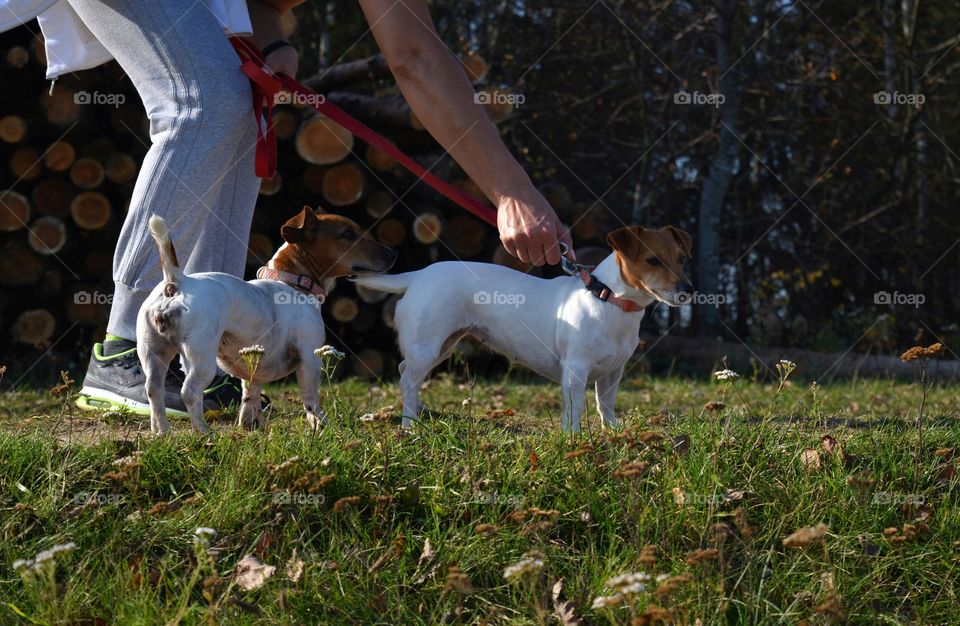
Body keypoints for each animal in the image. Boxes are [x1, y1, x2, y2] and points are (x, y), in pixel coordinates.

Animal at [352, 223, 688, 428]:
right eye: (653, 260)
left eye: (682, 257)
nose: (687, 289)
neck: (607, 299)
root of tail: (419, 274)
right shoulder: (575, 370)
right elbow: (574, 411)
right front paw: (573, 439)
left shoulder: (612, 373)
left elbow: (605, 406)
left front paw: (613, 433)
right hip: (427, 345)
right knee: (407, 380)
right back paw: (410, 425)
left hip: (442, 346)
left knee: (407, 374)